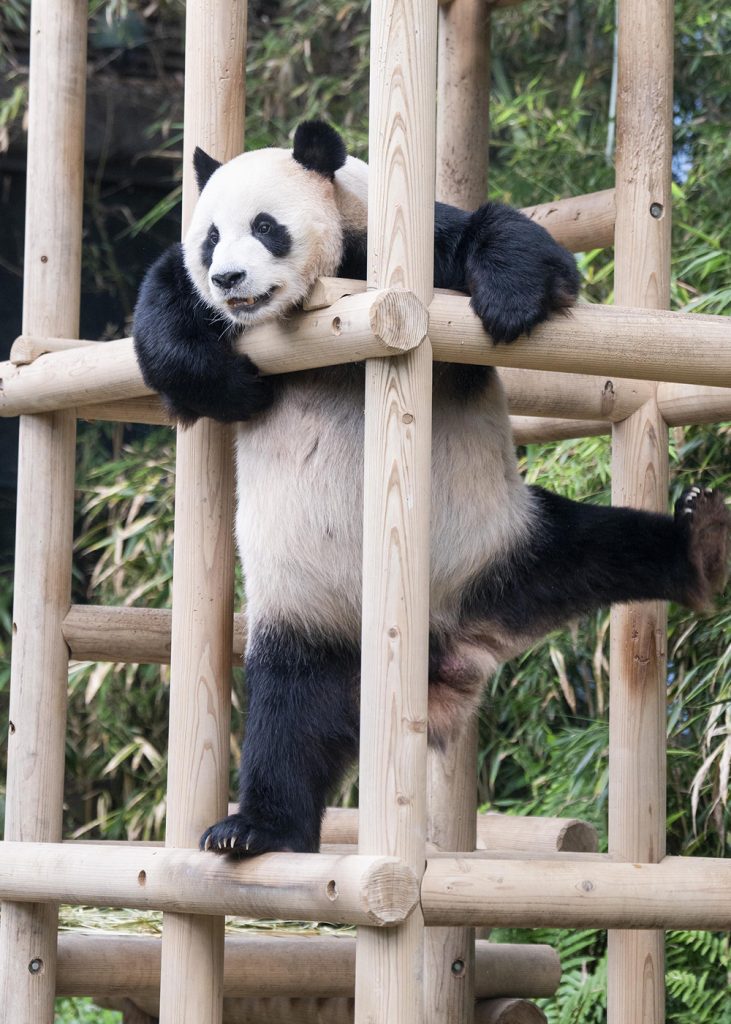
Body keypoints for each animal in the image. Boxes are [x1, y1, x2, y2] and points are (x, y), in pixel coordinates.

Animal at [133, 120, 730, 857]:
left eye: (267, 227)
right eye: (212, 237)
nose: (228, 279)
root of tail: (451, 644)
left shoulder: (401, 253)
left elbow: (505, 240)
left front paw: (508, 302)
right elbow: (164, 309)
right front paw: (229, 383)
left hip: (510, 543)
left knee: (606, 546)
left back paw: (700, 545)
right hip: (313, 619)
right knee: (289, 714)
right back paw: (255, 830)